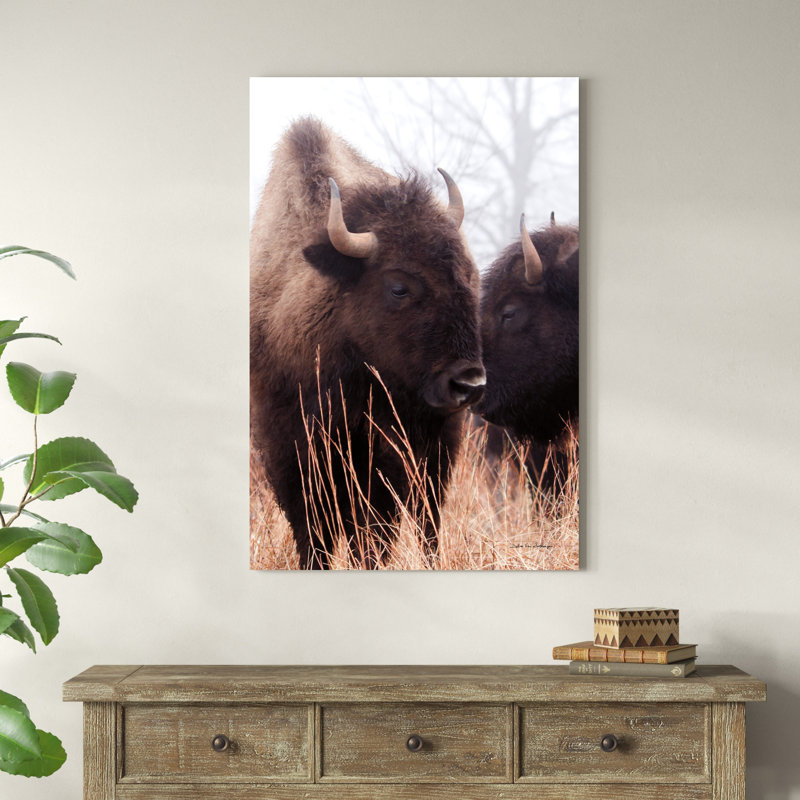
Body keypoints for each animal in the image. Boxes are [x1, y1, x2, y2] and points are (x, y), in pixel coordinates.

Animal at [250, 118, 485, 568]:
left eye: (470, 277)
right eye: (398, 287)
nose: (468, 383)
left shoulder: (388, 457)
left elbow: (374, 532)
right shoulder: (288, 449)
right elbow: (314, 532)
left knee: (426, 523)